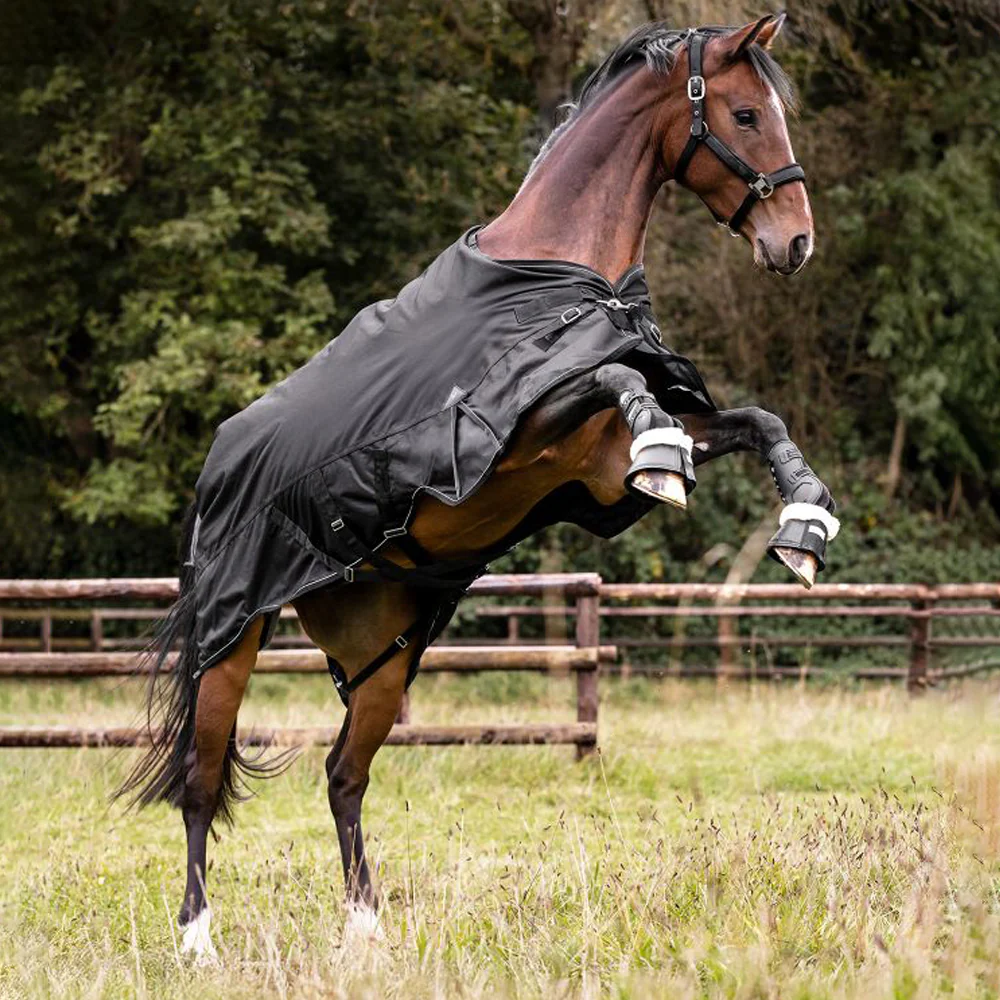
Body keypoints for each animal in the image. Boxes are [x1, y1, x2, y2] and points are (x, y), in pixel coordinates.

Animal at [119, 13, 839, 956]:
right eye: (748, 115)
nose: (795, 243)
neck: (557, 278)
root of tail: (215, 471)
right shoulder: (519, 429)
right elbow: (618, 381)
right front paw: (668, 456)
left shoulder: (598, 473)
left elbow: (758, 420)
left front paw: (804, 525)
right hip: (231, 640)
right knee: (202, 780)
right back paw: (198, 940)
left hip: (385, 657)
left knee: (343, 775)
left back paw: (366, 930)